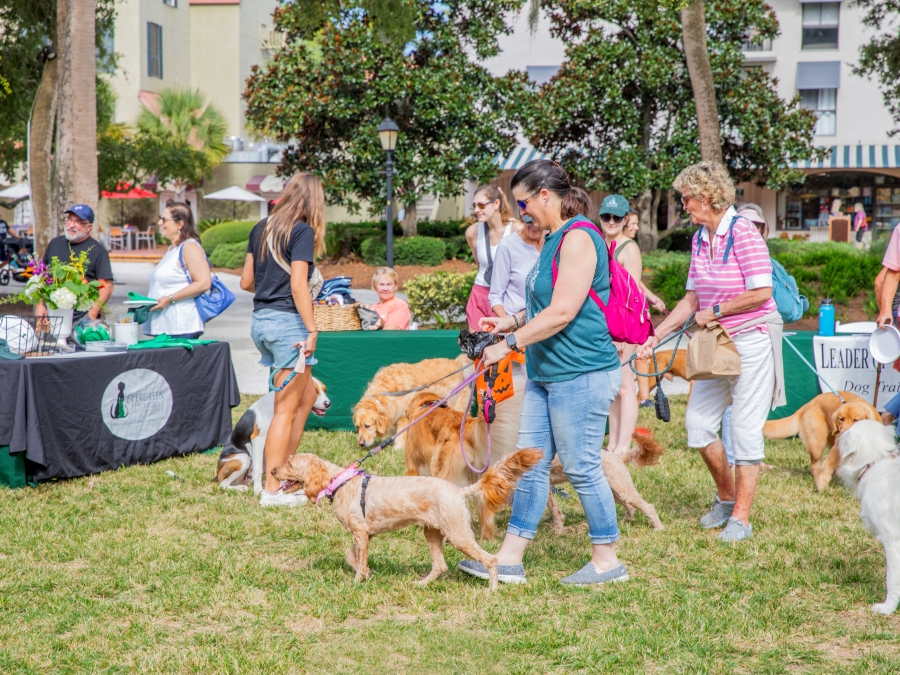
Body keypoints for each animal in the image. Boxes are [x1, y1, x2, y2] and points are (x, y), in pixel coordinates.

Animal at [270, 448, 544, 592]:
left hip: (458, 534)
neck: (341, 482)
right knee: (440, 566)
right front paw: (365, 573)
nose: (272, 470)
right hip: (432, 533)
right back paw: (421, 584)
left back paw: (492, 589)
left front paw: (358, 581)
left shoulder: (360, 533)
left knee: (490, 559)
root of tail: (459, 492)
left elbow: (359, 560)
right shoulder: (363, 536)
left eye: (290, 463)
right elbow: (354, 557)